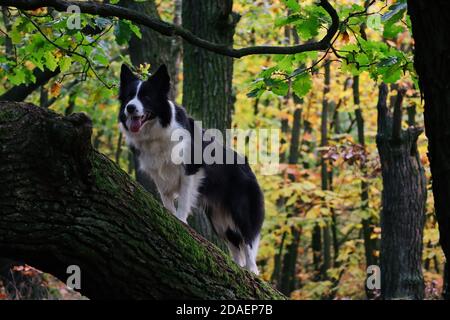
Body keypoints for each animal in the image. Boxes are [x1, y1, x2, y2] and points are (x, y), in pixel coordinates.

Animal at [118, 63, 264, 274]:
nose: (130, 108)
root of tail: (249, 168)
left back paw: (252, 272)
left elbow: (184, 200)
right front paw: (170, 216)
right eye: (129, 96)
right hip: (219, 220)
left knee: (248, 243)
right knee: (235, 247)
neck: (158, 131)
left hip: (241, 211)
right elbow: (167, 200)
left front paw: (180, 220)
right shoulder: (159, 175)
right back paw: (238, 267)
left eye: (146, 97)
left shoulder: (189, 171)